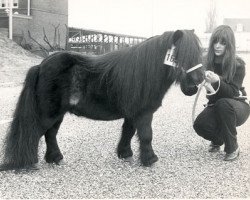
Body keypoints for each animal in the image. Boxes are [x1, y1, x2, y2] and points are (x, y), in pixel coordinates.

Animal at [0, 29, 204, 170]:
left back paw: (55, 158)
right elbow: (146, 135)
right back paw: (29, 162)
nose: (198, 81)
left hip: (57, 114)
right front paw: (150, 159)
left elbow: (128, 132)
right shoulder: (143, 113)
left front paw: (125, 154)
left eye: (199, 52)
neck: (145, 71)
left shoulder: (132, 114)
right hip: (48, 113)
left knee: (50, 134)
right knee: (34, 133)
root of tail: (41, 65)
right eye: (180, 55)